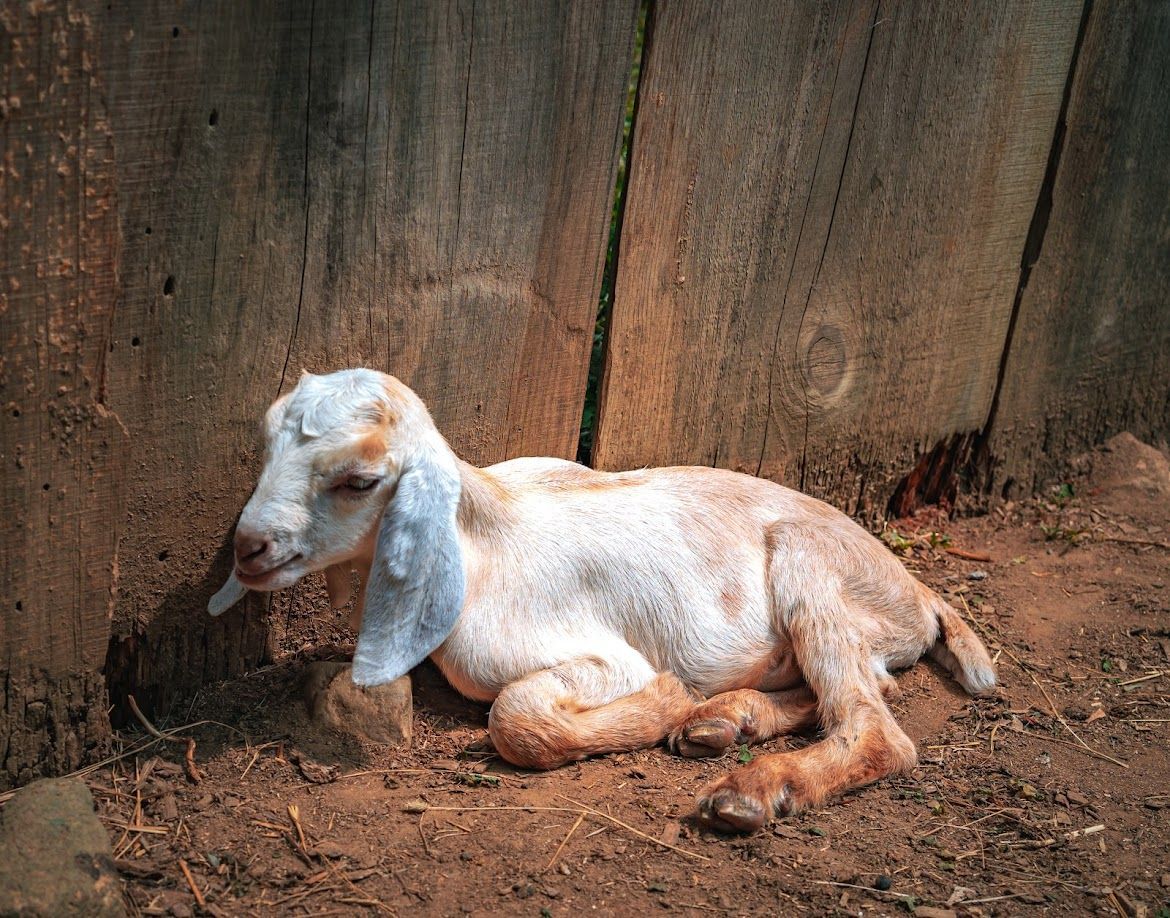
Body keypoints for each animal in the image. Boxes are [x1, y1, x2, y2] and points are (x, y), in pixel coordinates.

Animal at [210, 368, 995, 832]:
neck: (481, 545)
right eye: (266, 440)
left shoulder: (599, 659)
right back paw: (723, 722)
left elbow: (517, 718)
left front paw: (667, 700)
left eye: (360, 480)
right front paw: (693, 712)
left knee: (878, 729)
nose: (248, 548)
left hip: (812, 571)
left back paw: (750, 788)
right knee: (856, 688)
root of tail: (915, 592)